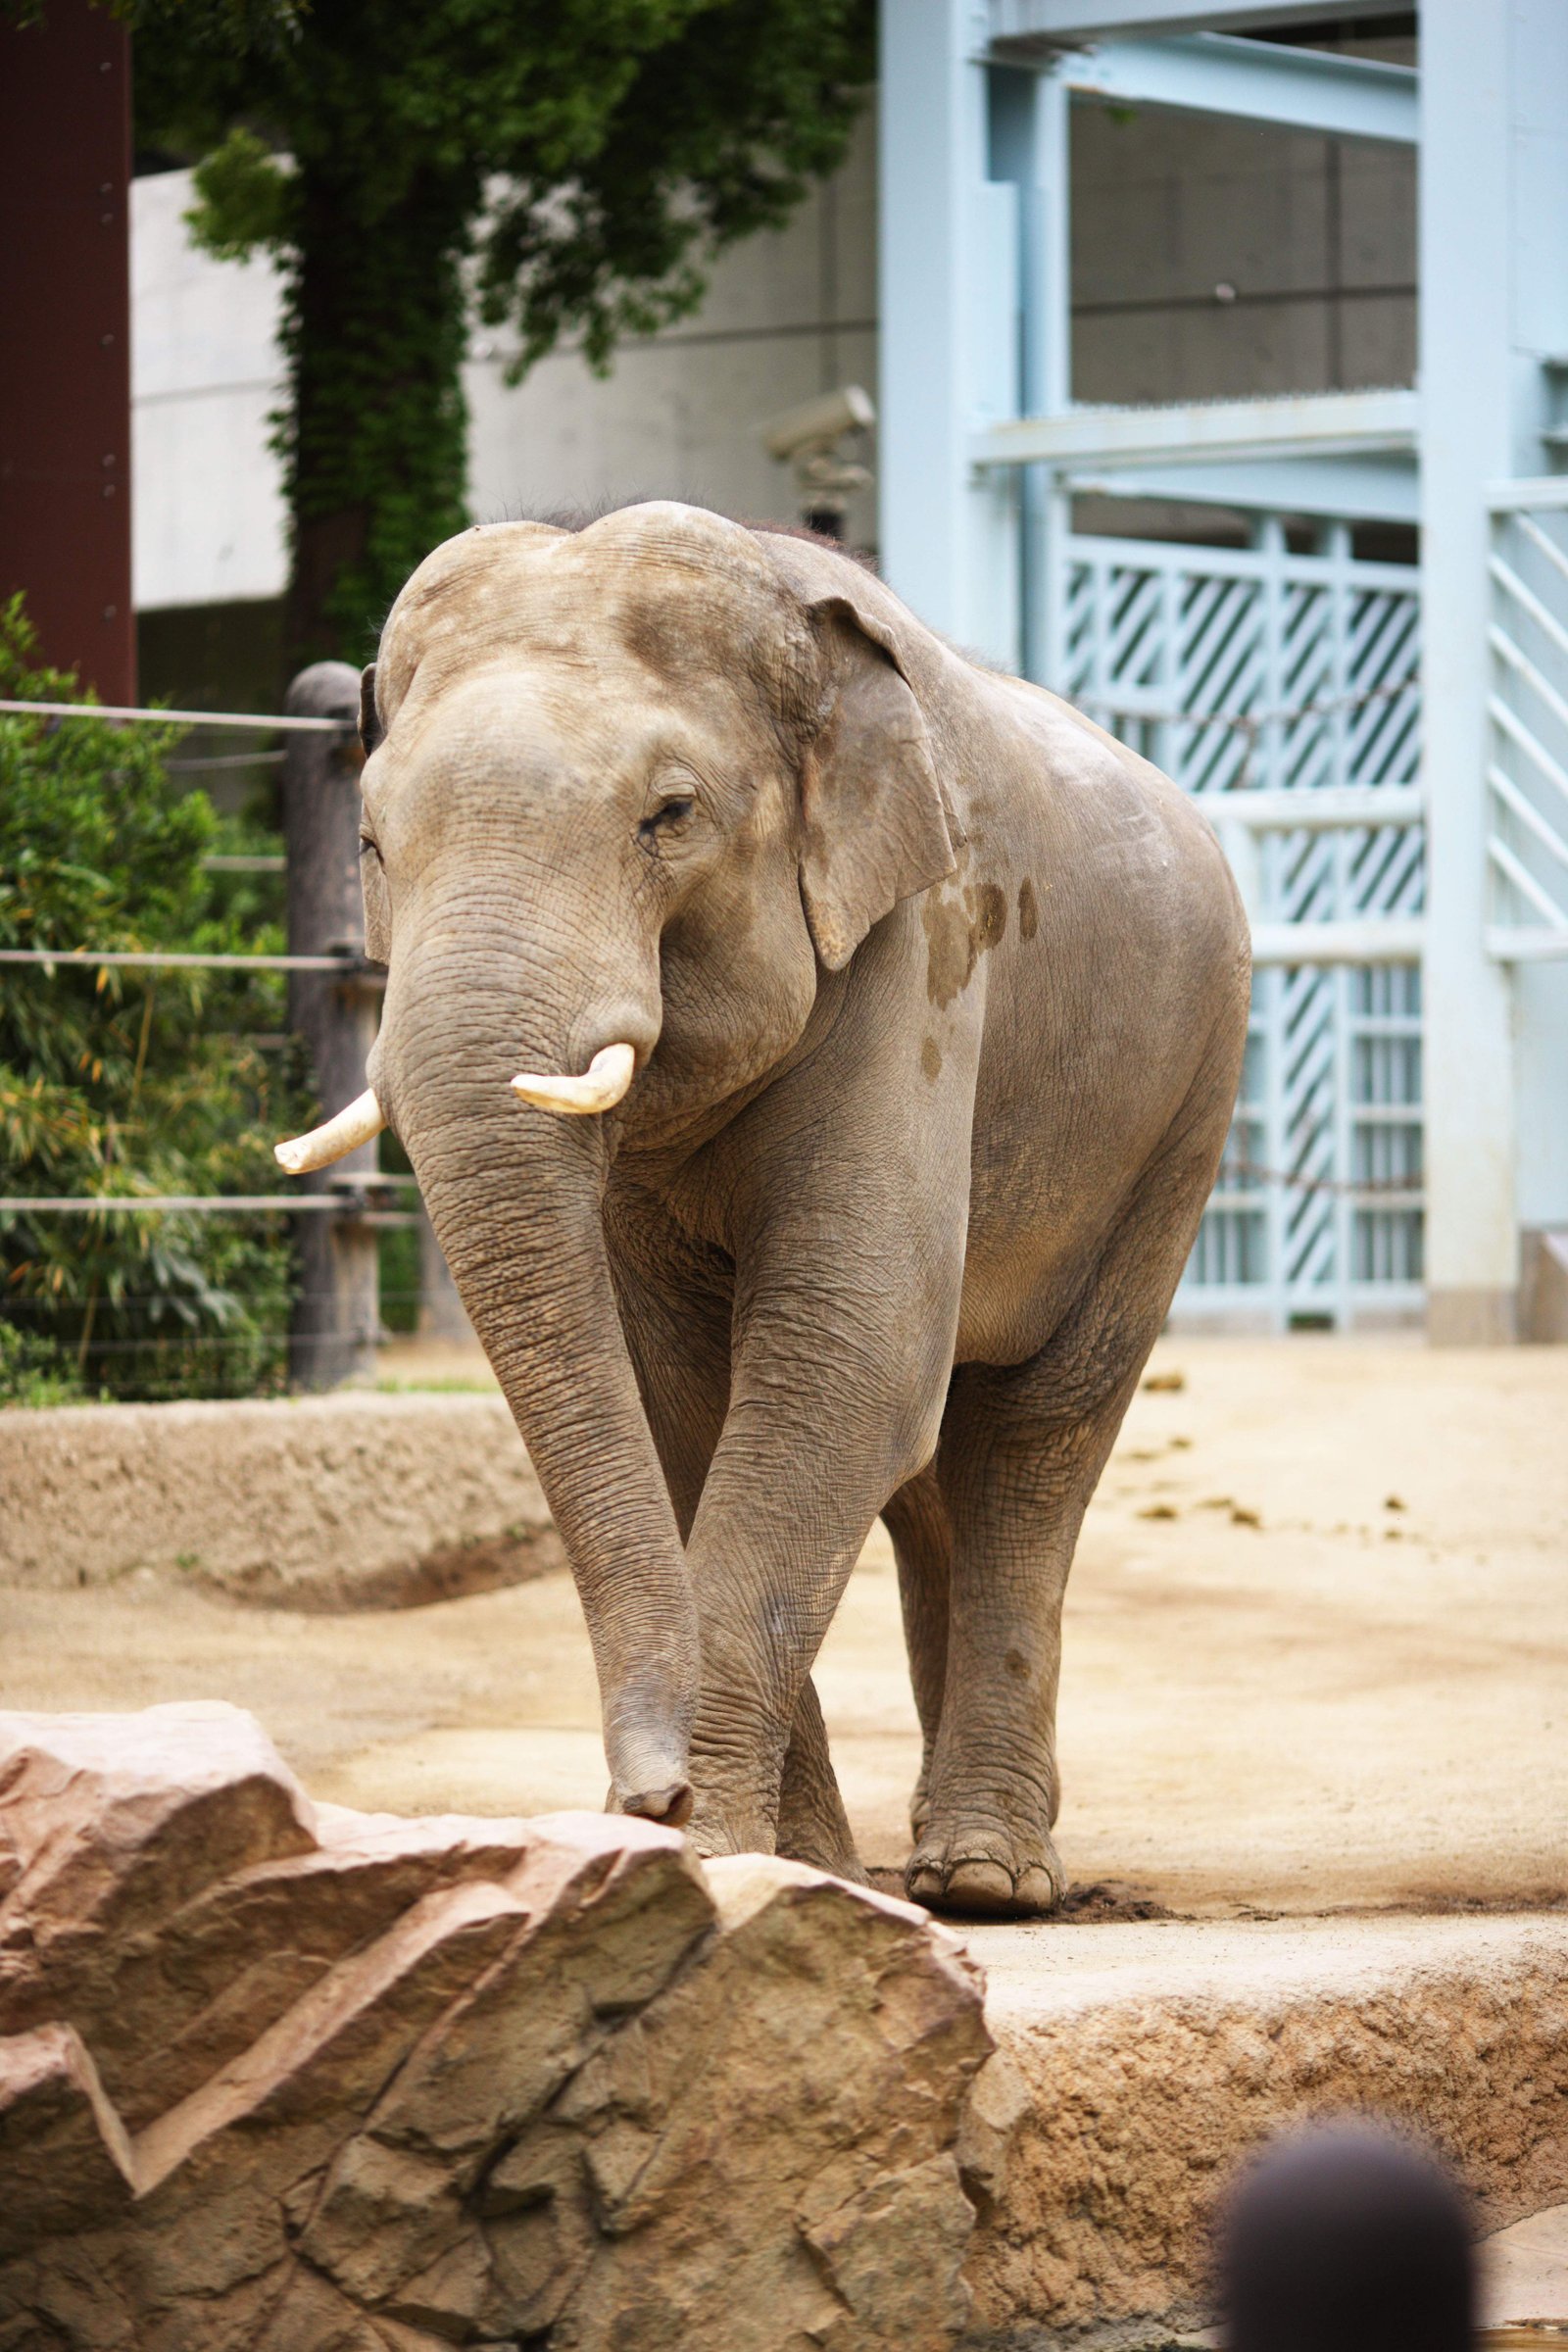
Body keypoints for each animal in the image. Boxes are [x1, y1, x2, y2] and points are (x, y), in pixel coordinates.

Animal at [278, 502, 1250, 1918]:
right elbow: (684, 1392)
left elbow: (842, 1353)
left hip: (1184, 1106)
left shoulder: (916, 947)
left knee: (1035, 1439)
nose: (650, 1797)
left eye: (669, 816)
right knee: (939, 1474)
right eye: (370, 846)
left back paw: (985, 1880)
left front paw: (719, 1855)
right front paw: (789, 1867)